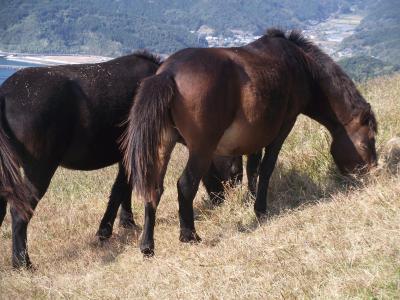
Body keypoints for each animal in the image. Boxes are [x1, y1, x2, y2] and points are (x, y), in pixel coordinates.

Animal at [122, 29, 378, 256]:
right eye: (369, 142)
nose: (373, 171)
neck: (301, 65)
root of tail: (168, 74)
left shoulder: (256, 134)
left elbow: (253, 169)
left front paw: (252, 199)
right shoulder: (284, 125)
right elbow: (266, 168)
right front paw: (260, 209)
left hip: (162, 145)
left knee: (154, 188)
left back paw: (147, 246)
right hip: (201, 149)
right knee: (185, 185)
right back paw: (189, 235)